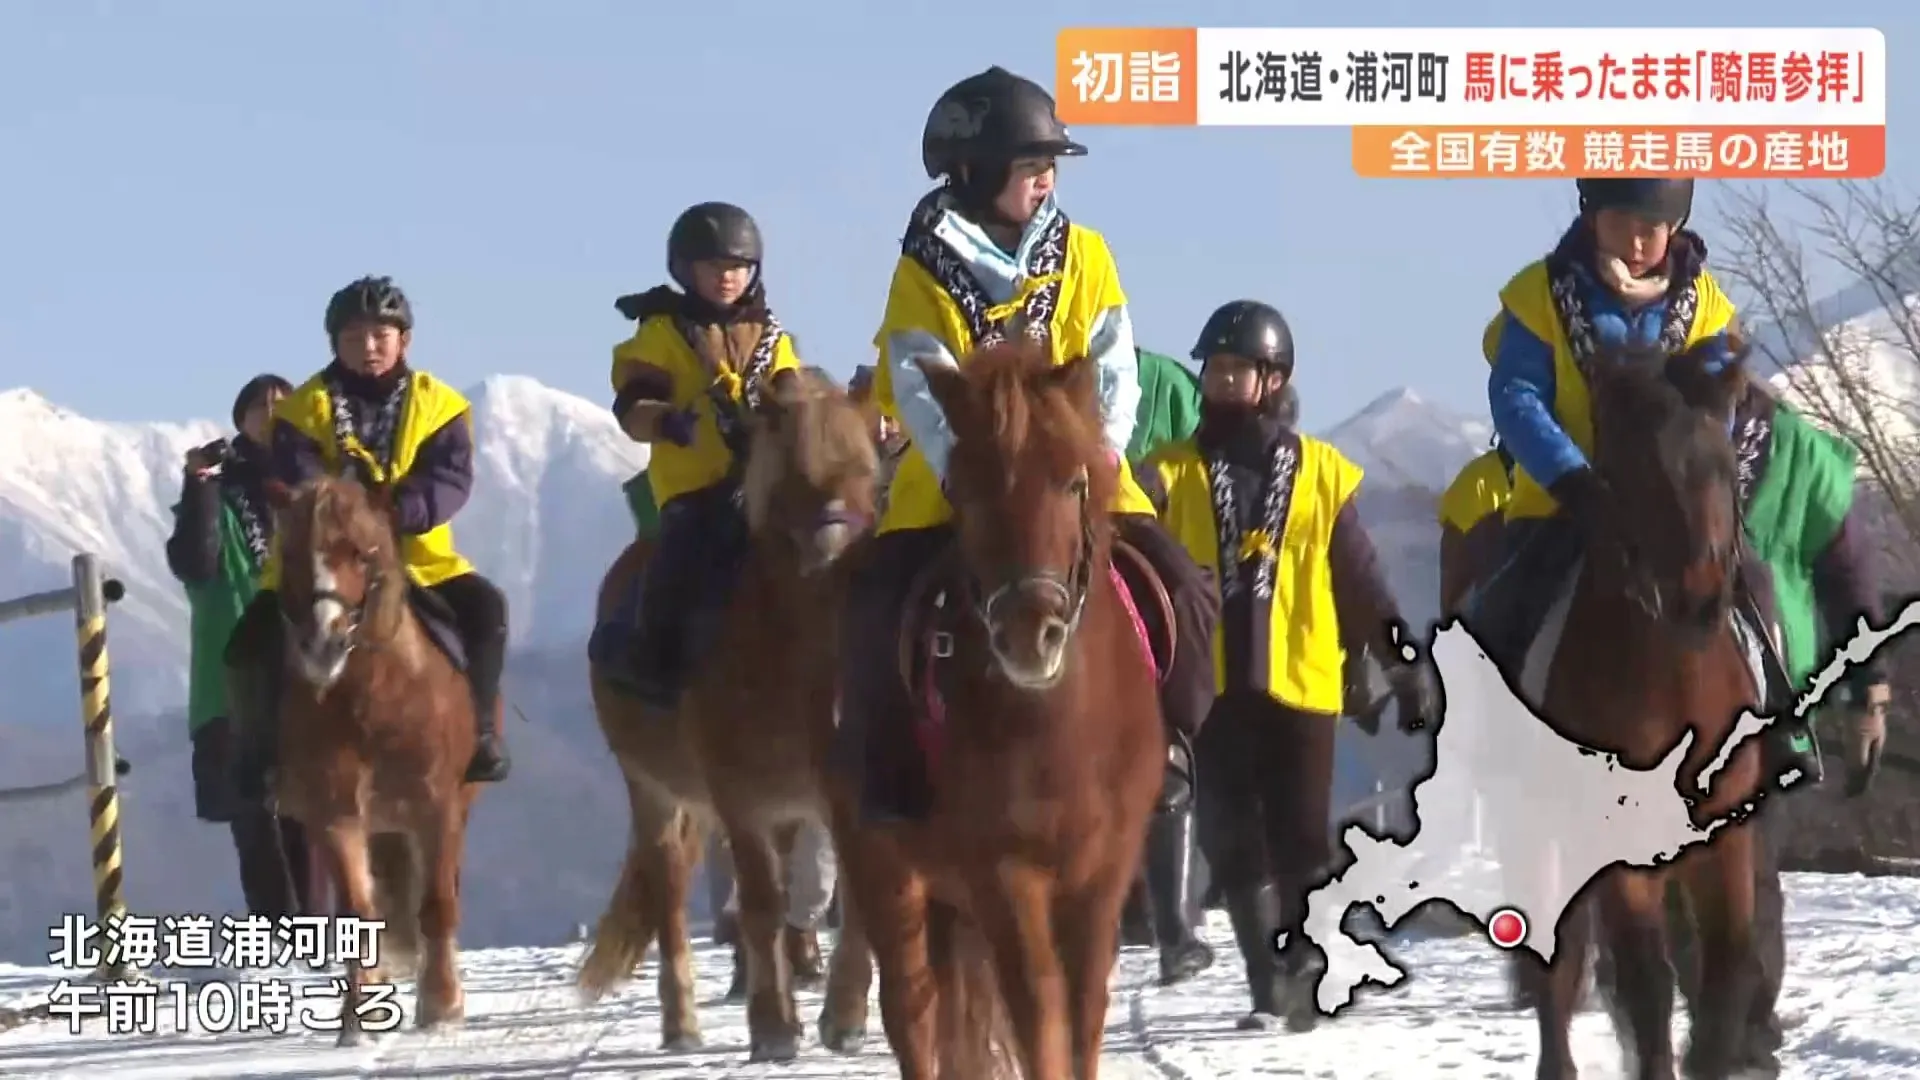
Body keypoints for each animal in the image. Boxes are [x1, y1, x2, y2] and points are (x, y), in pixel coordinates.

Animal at [263, 472, 480, 1045]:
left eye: (360, 552)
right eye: (289, 553)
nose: (322, 644)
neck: (372, 700)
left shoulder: (437, 809)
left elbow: (437, 904)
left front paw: (442, 1005)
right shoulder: (335, 813)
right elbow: (359, 913)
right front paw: (360, 1018)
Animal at [572, 365, 879, 1053]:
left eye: (870, 477)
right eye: (790, 479)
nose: (835, 556)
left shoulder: (840, 795)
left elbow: (854, 896)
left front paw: (843, 1017)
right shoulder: (738, 797)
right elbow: (760, 903)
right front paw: (773, 1025)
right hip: (654, 789)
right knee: (670, 894)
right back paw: (682, 1022)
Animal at [837, 343, 1167, 1076]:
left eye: (1072, 481)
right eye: (963, 491)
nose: (1028, 632)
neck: (1062, 734)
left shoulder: (1104, 874)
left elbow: (1083, 1015)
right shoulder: (1004, 877)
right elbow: (1039, 1017)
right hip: (886, 871)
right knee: (913, 1014)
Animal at [1520, 345, 1774, 1076]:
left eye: (1721, 461)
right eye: (1633, 471)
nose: (1698, 597)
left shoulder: (1725, 838)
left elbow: (1724, 968)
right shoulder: (1618, 853)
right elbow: (1644, 981)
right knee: (1557, 967)